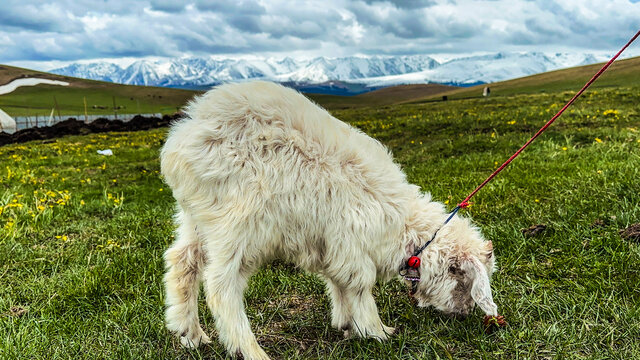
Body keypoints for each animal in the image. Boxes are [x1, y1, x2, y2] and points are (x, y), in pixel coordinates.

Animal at [159, 81, 496, 360]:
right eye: (464, 281)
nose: (464, 314)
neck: (401, 223)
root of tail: (185, 135)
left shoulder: (332, 245)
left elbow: (338, 283)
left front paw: (348, 325)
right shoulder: (351, 241)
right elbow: (359, 285)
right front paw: (376, 330)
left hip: (198, 217)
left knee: (182, 263)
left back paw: (190, 334)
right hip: (240, 223)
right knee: (221, 285)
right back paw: (248, 349)